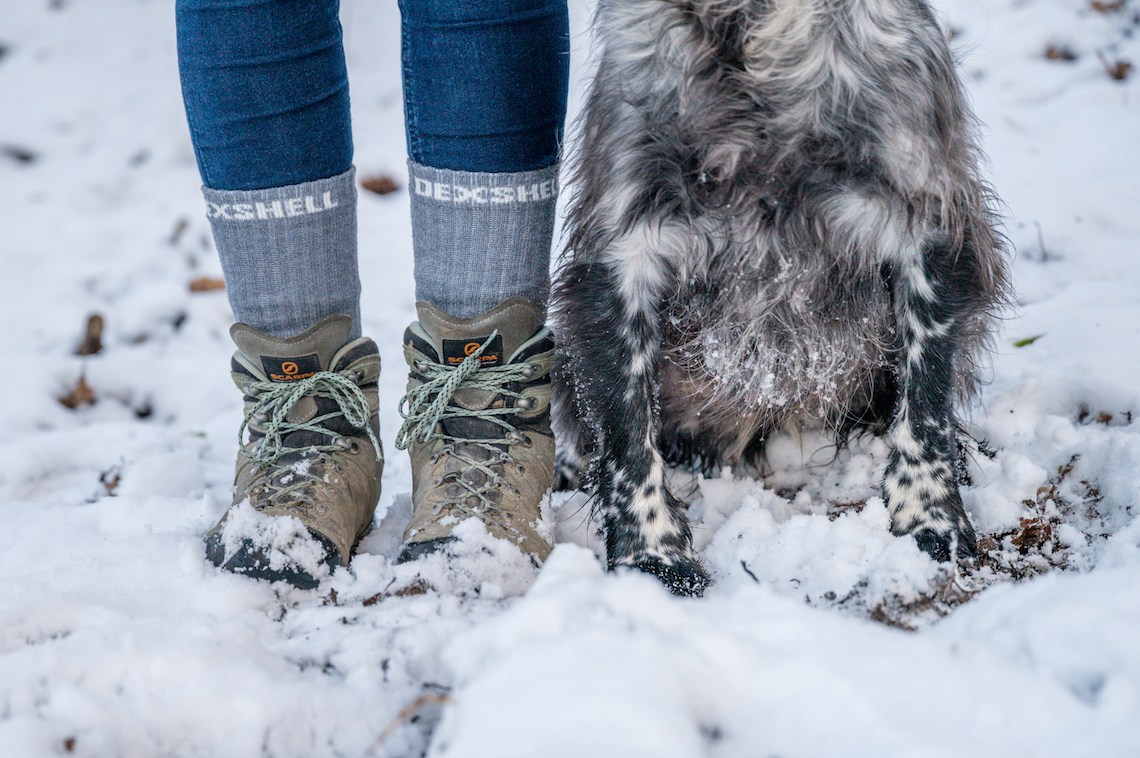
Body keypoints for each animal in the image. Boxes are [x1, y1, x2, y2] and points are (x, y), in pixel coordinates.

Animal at [551, 0, 1007, 592]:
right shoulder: (620, 254)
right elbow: (627, 431)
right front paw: (652, 556)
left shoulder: (928, 226)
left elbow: (926, 403)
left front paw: (930, 519)